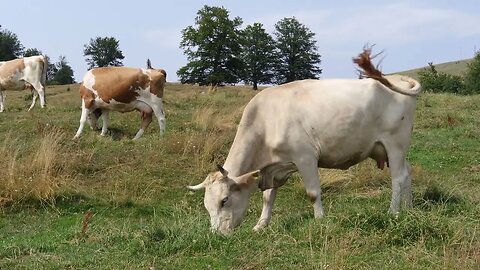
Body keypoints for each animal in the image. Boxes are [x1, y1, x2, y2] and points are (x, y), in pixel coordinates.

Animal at [189, 48, 422, 234]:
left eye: (224, 200)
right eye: (207, 206)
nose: (217, 234)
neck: (266, 121)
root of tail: (399, 78)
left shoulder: (305, 157)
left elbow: (312, 193)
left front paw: (320, 220)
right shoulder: (273, 167)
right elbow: (267, 197)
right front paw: (260, 225)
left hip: (394, 143)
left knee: (398, 178)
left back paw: (393, 211)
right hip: (393, 149)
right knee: (408, 172)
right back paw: (409, 208)